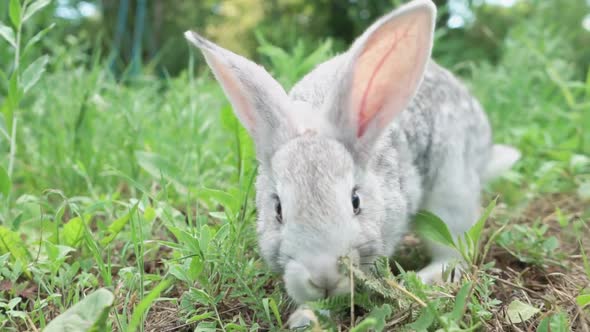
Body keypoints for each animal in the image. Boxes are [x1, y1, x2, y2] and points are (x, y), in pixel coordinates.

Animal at [184, 0, 520, 328]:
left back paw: (428, 277)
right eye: (277, 209)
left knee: (456, 246)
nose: (323, 276)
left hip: (451, 188)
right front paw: (305, 317)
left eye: (355, 201)